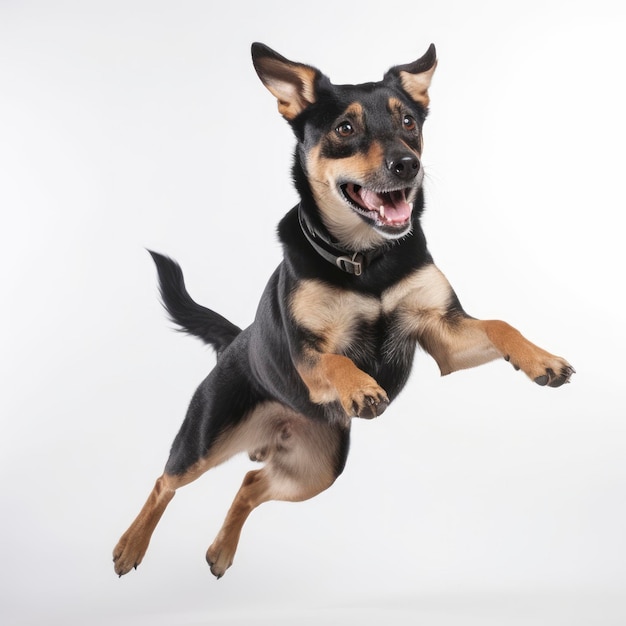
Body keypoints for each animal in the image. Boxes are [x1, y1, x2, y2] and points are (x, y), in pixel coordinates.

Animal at [111, 41, 572, 576]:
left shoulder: (443, 333)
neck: (366, 258)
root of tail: (236, 341)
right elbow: (334, 359)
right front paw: (360, 386)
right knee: (165, 481)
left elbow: (501, 323)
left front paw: (541, 360)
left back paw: (220, 551)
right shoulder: (307, 354)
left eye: (408, 121)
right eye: (345, 129)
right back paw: (130, 546)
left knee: (250, 485)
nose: (407, 164)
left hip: (318, 467)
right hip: (206, 437)